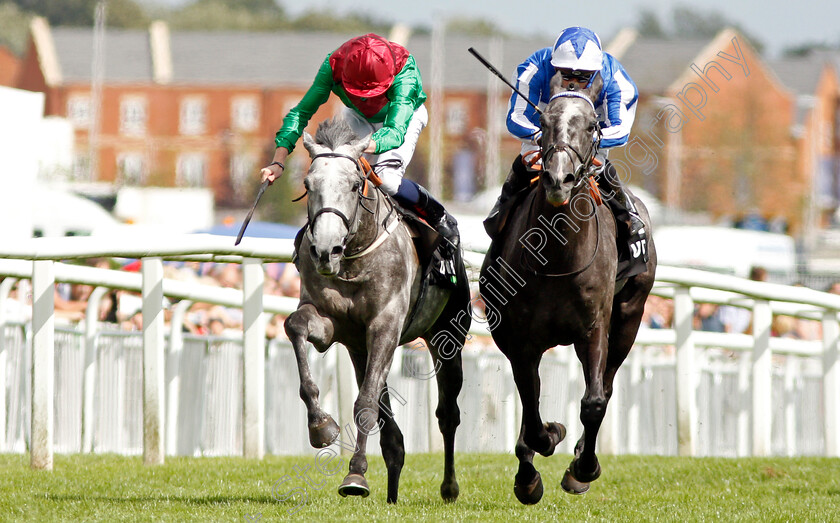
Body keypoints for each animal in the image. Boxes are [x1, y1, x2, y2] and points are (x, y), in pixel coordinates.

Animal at [286, 117, 472, 504]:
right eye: (308, 185)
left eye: (355, 184)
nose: (325, 250)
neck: (355, 256)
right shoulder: (332, 323)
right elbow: (295, 326)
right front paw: (321, 426)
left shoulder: (385, 325)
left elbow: (366, 404)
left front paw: (356, 474)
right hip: (360, 349)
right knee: (392, 430)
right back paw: (392, 488)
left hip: (447, 335)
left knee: (448, 413)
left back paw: (449, 487)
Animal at [480, 73, 656, 504]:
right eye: (544, 122)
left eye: (592, 125)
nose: (559, 178)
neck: (556, 256)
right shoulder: (520, 338)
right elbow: (531, 403)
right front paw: (536, 462)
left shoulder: (594, 327)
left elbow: (593, 402)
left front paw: (583, 467)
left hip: (629, 317)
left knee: (606, 384)